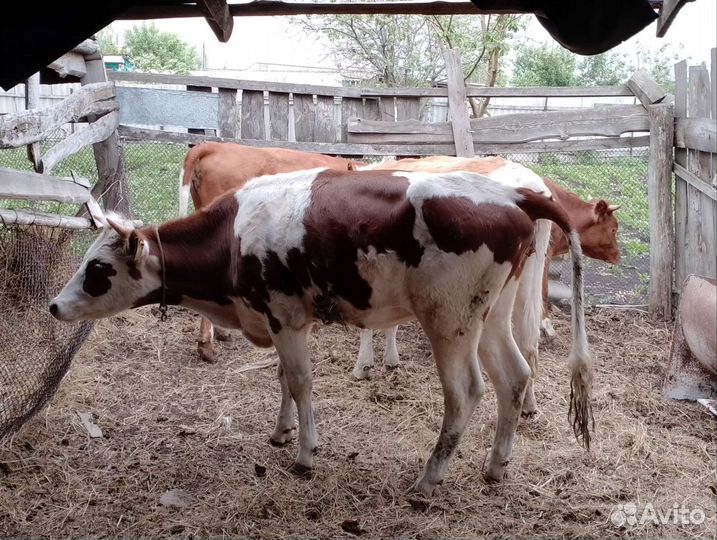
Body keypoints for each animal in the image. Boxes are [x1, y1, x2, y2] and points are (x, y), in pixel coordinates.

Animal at [50, 167, 594, 496]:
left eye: (97, 269)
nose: (54, 306)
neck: (233, 235)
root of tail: (511, 192)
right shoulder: (282, 319)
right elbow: (284, 380)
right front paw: (280, 431)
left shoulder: (284, 317)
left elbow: (302, 382)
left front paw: (305, 453)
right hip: (492, 315)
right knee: (514, 378)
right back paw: (496, 465)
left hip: (450, 321)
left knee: (466, 393)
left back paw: (428, 479)